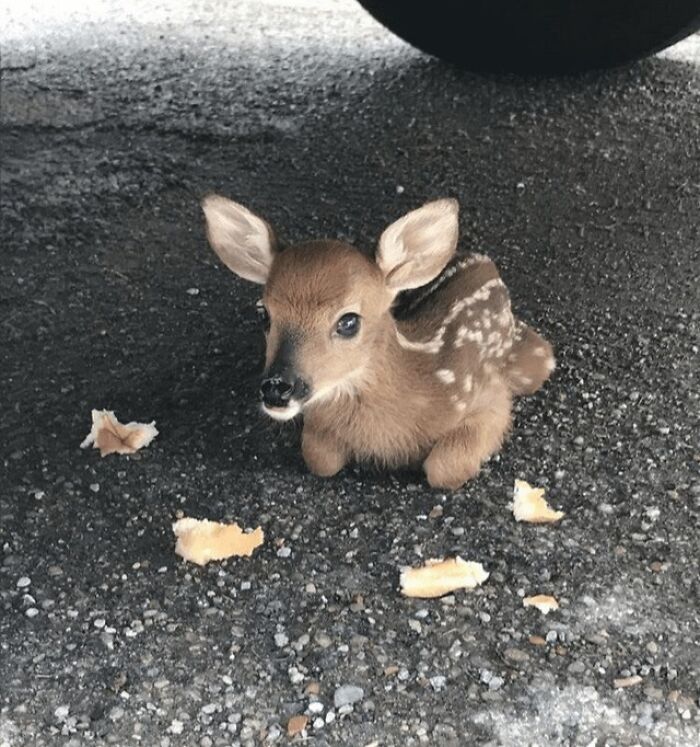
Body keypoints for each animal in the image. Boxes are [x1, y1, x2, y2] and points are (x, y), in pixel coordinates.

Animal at [202, 195, 555, 490]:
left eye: (348, 321)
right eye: (264, 314)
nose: (277, 387)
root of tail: (482, 260)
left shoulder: (488, 396)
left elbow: (444, 468)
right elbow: (320, 459)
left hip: (533, 361)